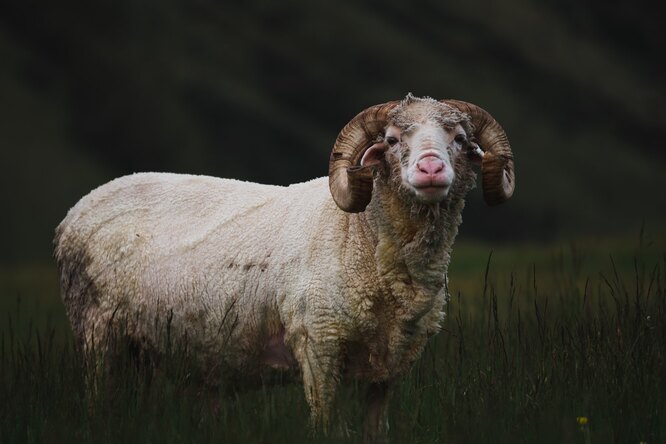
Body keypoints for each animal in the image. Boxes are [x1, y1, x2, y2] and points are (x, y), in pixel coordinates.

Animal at [54, 94, 516, 440]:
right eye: (390, 138)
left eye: (460, 137)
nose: (431, 168)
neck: (362, 236)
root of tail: (75, 212)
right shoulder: (318, 345)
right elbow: (327, 427)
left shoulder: (389, 368)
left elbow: (376, 429)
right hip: (98, 334)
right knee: (98, 401)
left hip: (144, 348)